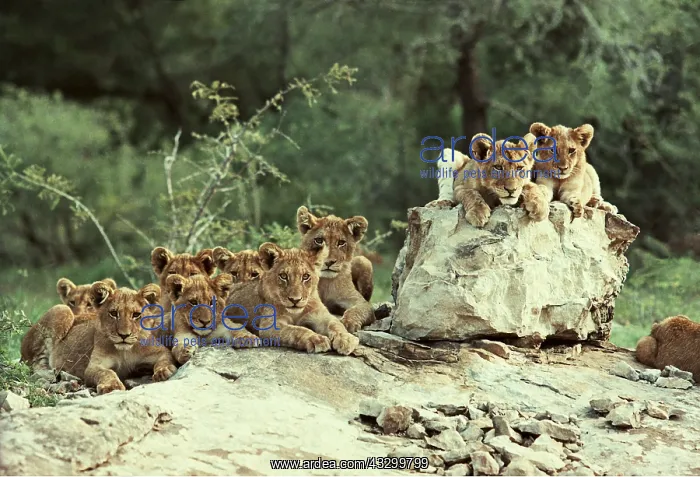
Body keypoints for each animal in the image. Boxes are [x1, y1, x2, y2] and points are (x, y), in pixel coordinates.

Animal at [21, 281, 177, 394]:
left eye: (136, 315)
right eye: (113, 313)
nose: (124, 335)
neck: (125, 351)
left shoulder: (159, 351)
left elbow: (166, 358)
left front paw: (164, 371)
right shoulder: (93, 366)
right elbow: (106, 372)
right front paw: (112, 386)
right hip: (62, 310)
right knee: (36, 363)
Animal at [225, 242, 359, 355]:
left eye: (305, 276)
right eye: (283, 276)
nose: (295, 300)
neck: (296, 313)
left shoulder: (321, 315)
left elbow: (335, 324)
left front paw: (346, 338)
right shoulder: (270, 325)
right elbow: (296, 330)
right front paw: (316, 339)